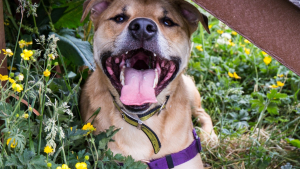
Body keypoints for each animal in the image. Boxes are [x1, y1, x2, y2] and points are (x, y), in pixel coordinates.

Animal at [79, 0, 216, 168]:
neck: (142, 121)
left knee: (202, 112)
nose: (143, 27)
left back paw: (209, 137)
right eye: (119, 18)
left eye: (168, 22)